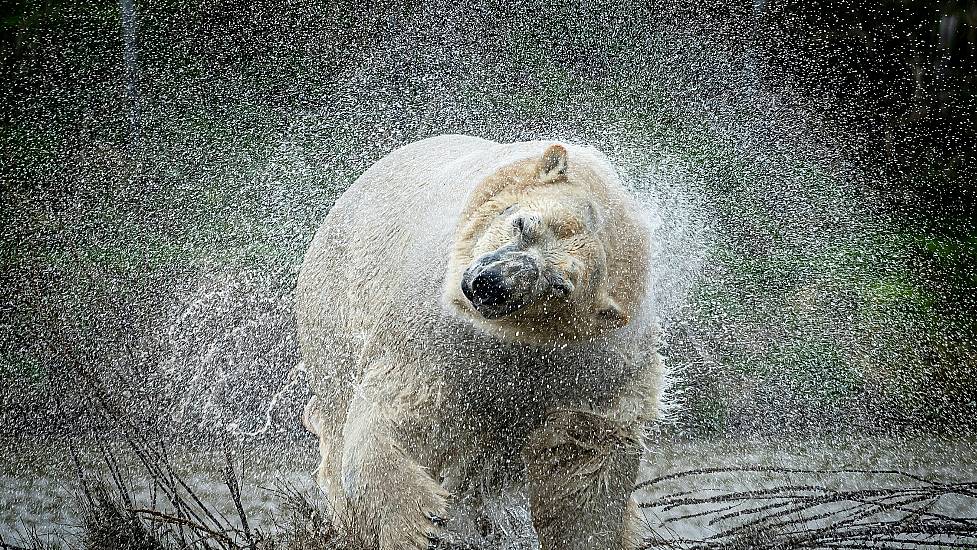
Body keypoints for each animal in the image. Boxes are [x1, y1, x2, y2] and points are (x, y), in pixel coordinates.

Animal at [298, 135, 664, 550]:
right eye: (523, 224)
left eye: (559, 286)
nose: (491, 284)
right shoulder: (434, 331)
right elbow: (403, 406)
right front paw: (419, 524)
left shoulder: (595, 369)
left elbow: (584, 456)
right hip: (336, 304)